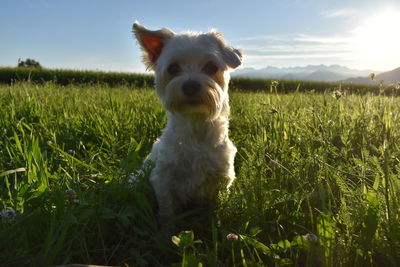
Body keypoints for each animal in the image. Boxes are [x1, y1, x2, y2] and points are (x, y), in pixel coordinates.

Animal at [133, 22, 242, 237]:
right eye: (173, 68)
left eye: (211, 67)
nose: (190, 85)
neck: (195, 129)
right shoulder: (163, 178)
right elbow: (167, 211)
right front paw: (165, 235)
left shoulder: (221, 178)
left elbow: (216, 208)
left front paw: (215, 228)